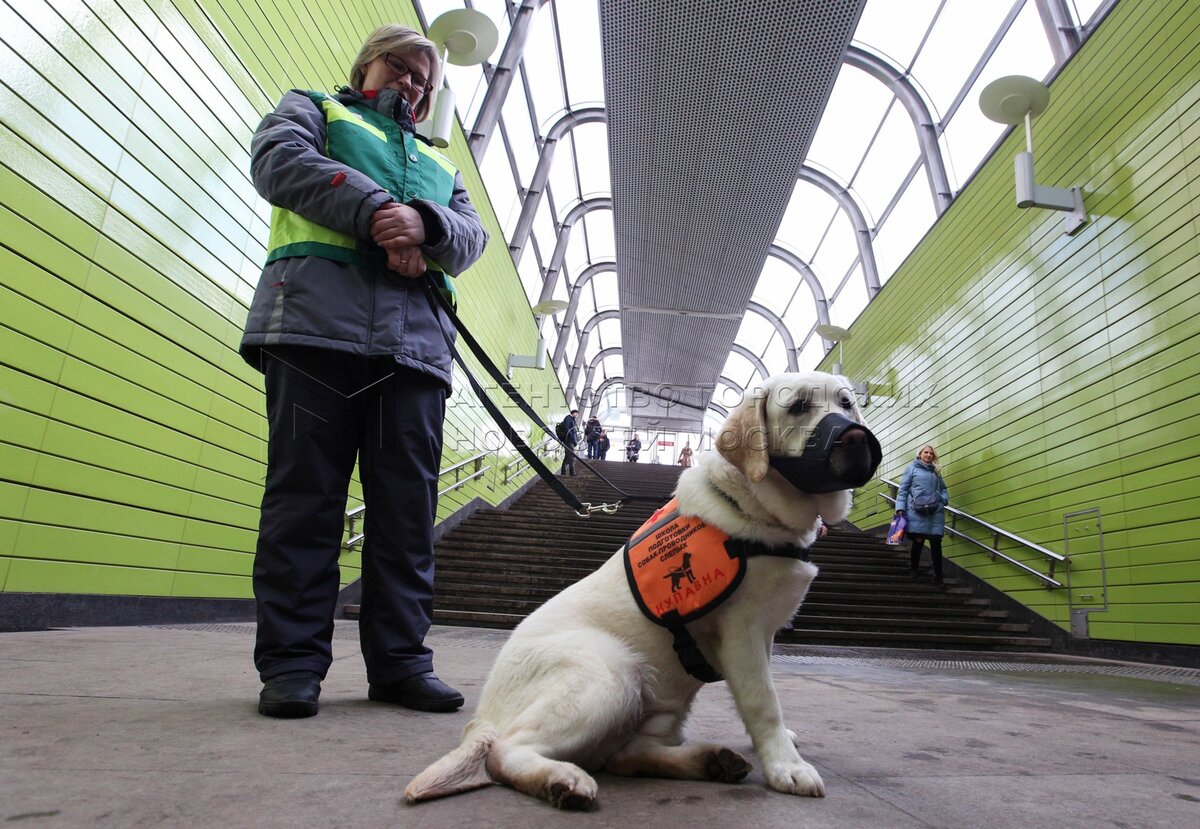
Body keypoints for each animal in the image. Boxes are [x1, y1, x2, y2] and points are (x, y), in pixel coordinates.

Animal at [408, 374, 878, 811]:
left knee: (624, 755)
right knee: (506, 751)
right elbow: (764, 702)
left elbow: (759, 698)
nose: (856, 437)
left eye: (846, 403)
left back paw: (710, 761)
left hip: (663, 701)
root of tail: (482, 718)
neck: (755, 510)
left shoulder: (764, 635)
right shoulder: (742, 630)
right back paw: (563, 781)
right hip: (613, 671)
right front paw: (787, 767)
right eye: (797, 407)